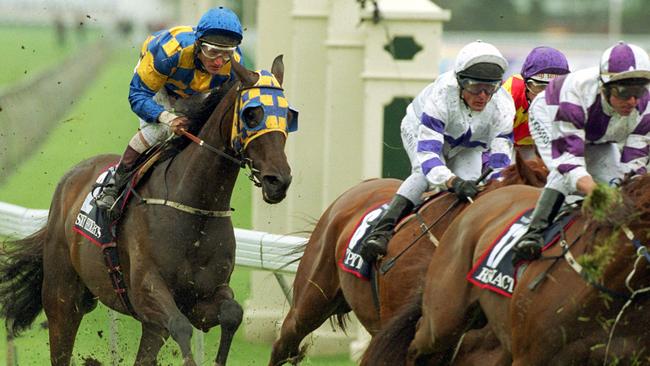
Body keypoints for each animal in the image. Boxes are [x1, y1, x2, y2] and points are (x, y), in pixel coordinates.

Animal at [0, 57, 292, 366]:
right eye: (252, 114)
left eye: (288, 115)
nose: (279, 180)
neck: (195, 207)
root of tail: (70, 179)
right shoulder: (147, 292)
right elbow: (180, 326)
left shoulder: (201, 299)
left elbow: (232, 313)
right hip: (62, 296)